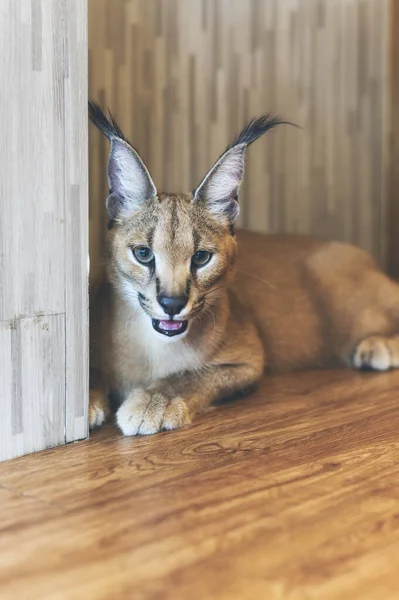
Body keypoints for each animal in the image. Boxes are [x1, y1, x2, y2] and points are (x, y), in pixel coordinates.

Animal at [89, 101, 399, 434]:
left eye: (201, 258)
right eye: (144, 254)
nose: (172, 304)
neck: (155, 346)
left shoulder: (249, 359)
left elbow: (192, 375)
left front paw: (155, 401)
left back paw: (379, 346)